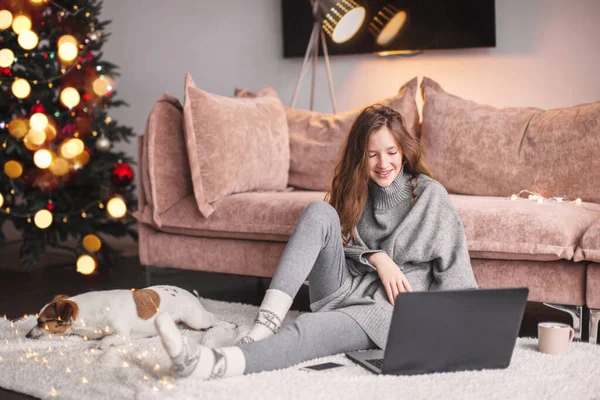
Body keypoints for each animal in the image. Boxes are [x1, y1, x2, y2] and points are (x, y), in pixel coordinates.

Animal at [27, 284, 218, 350]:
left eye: (41, 322)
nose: (27, 336)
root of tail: (191, 295)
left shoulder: (122, 336)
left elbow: (106, 340)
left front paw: (100, 345)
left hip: (196, 320)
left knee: (212, 318)